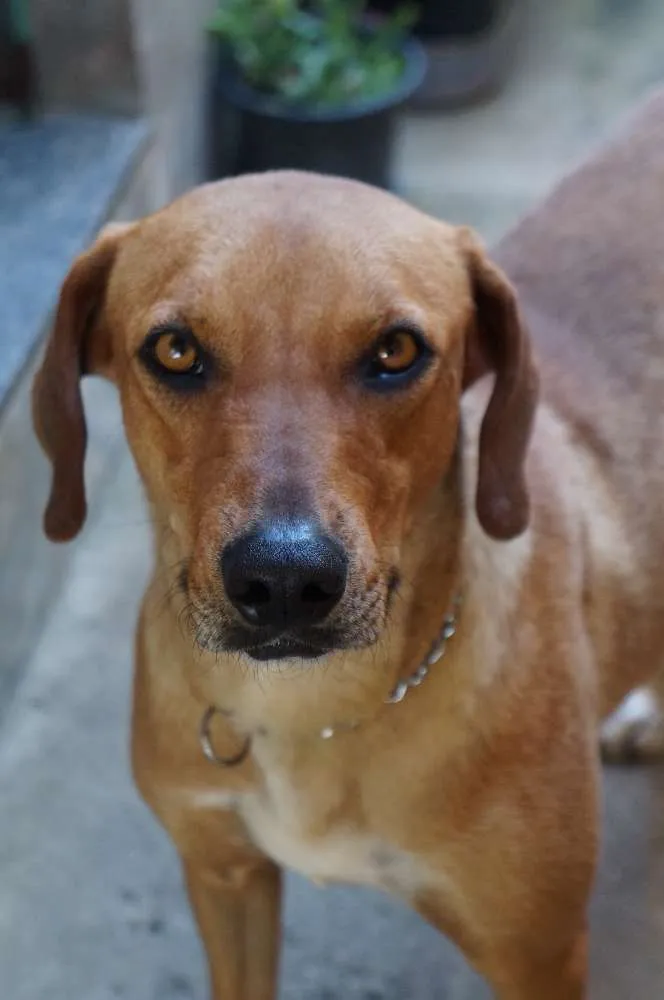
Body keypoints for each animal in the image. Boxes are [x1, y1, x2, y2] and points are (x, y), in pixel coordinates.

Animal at [31, 90, 664, 996]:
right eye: (176, 349)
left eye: (396, 350)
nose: (283, 581)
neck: (309, 711)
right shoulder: (224, 876)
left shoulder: (536, 951)